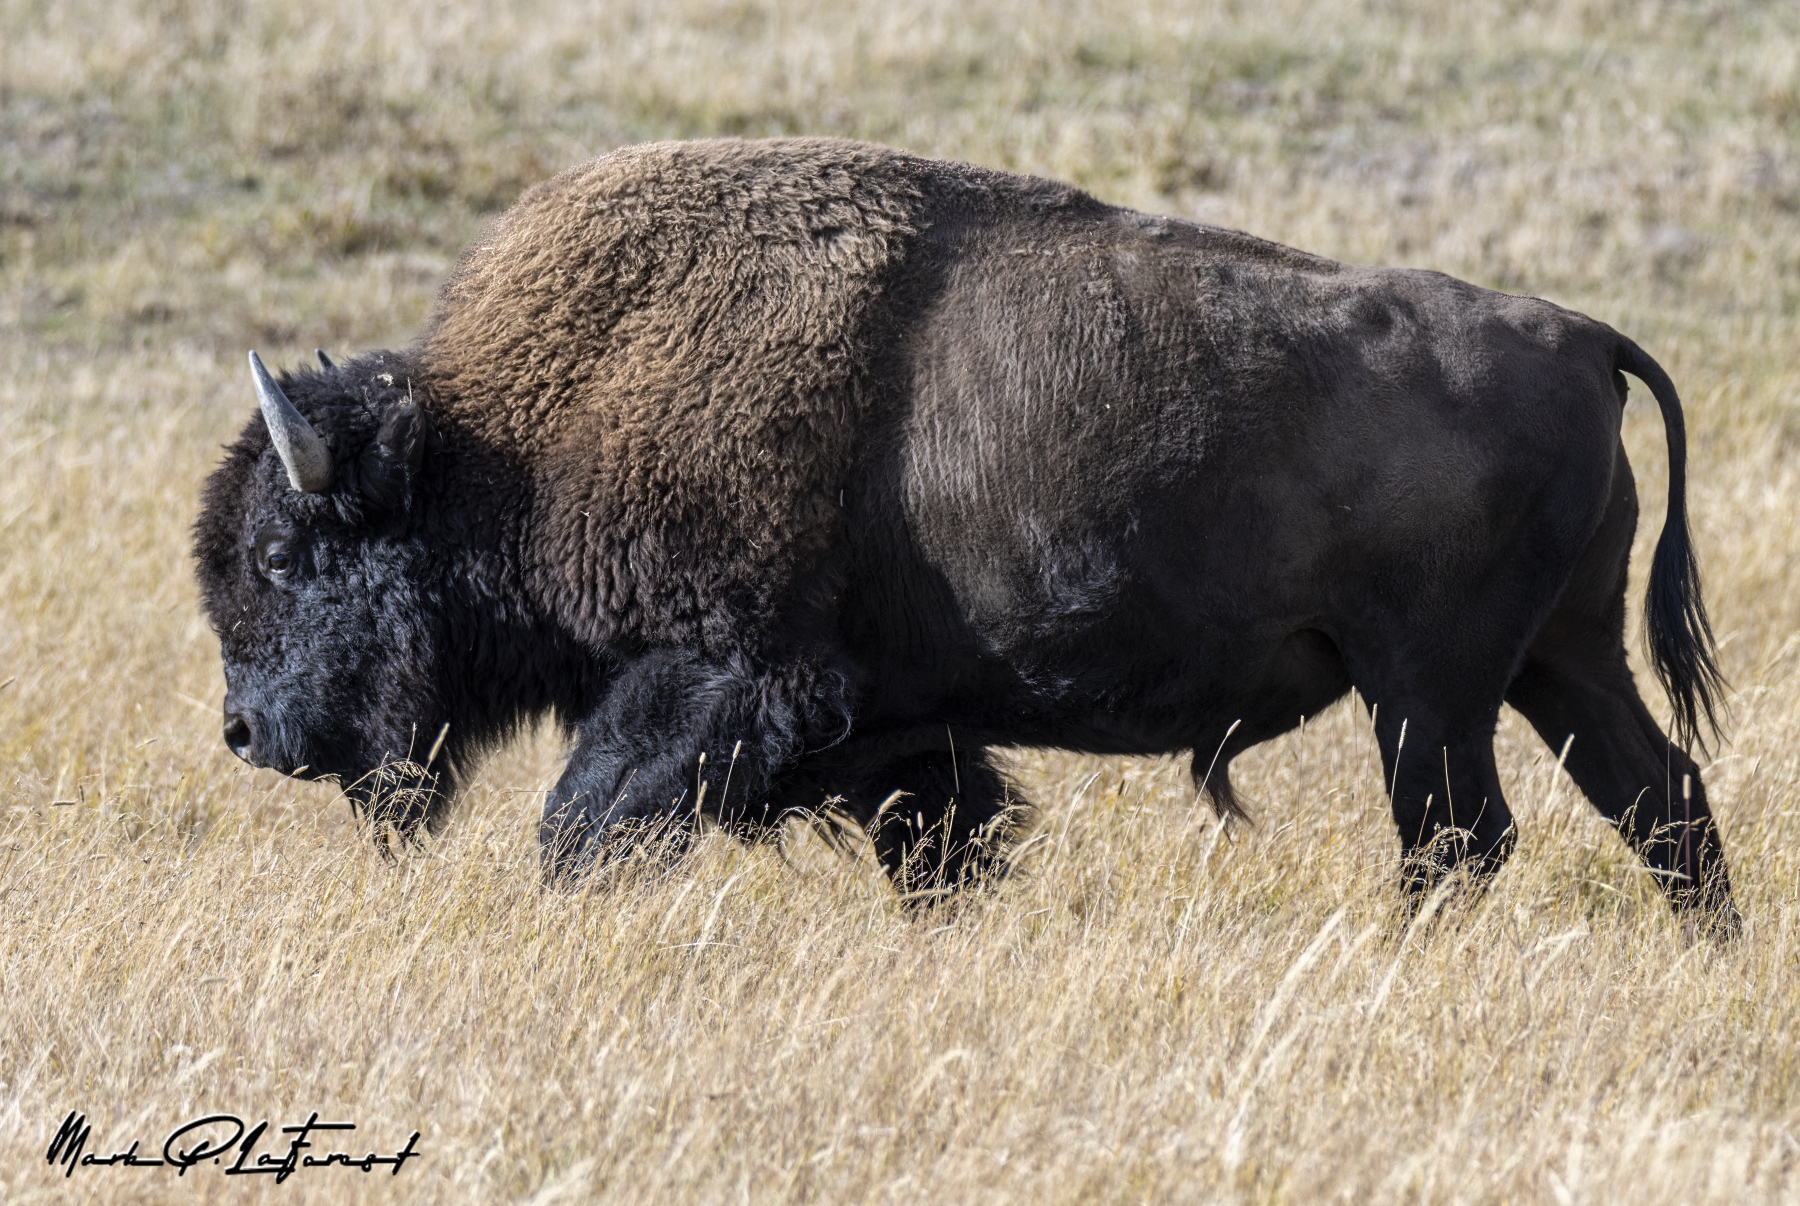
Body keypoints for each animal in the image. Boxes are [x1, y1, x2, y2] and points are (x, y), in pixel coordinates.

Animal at [194, 137, 1735, 925]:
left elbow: (586, 823)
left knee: (1466, 839)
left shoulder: (717, 679)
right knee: (1656, 797)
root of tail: (1577, 333)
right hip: (1555, 663)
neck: (506, 440)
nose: (247, 731)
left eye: (282, 557)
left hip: (1429, 691)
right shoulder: (898, 728)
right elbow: (941, 843)